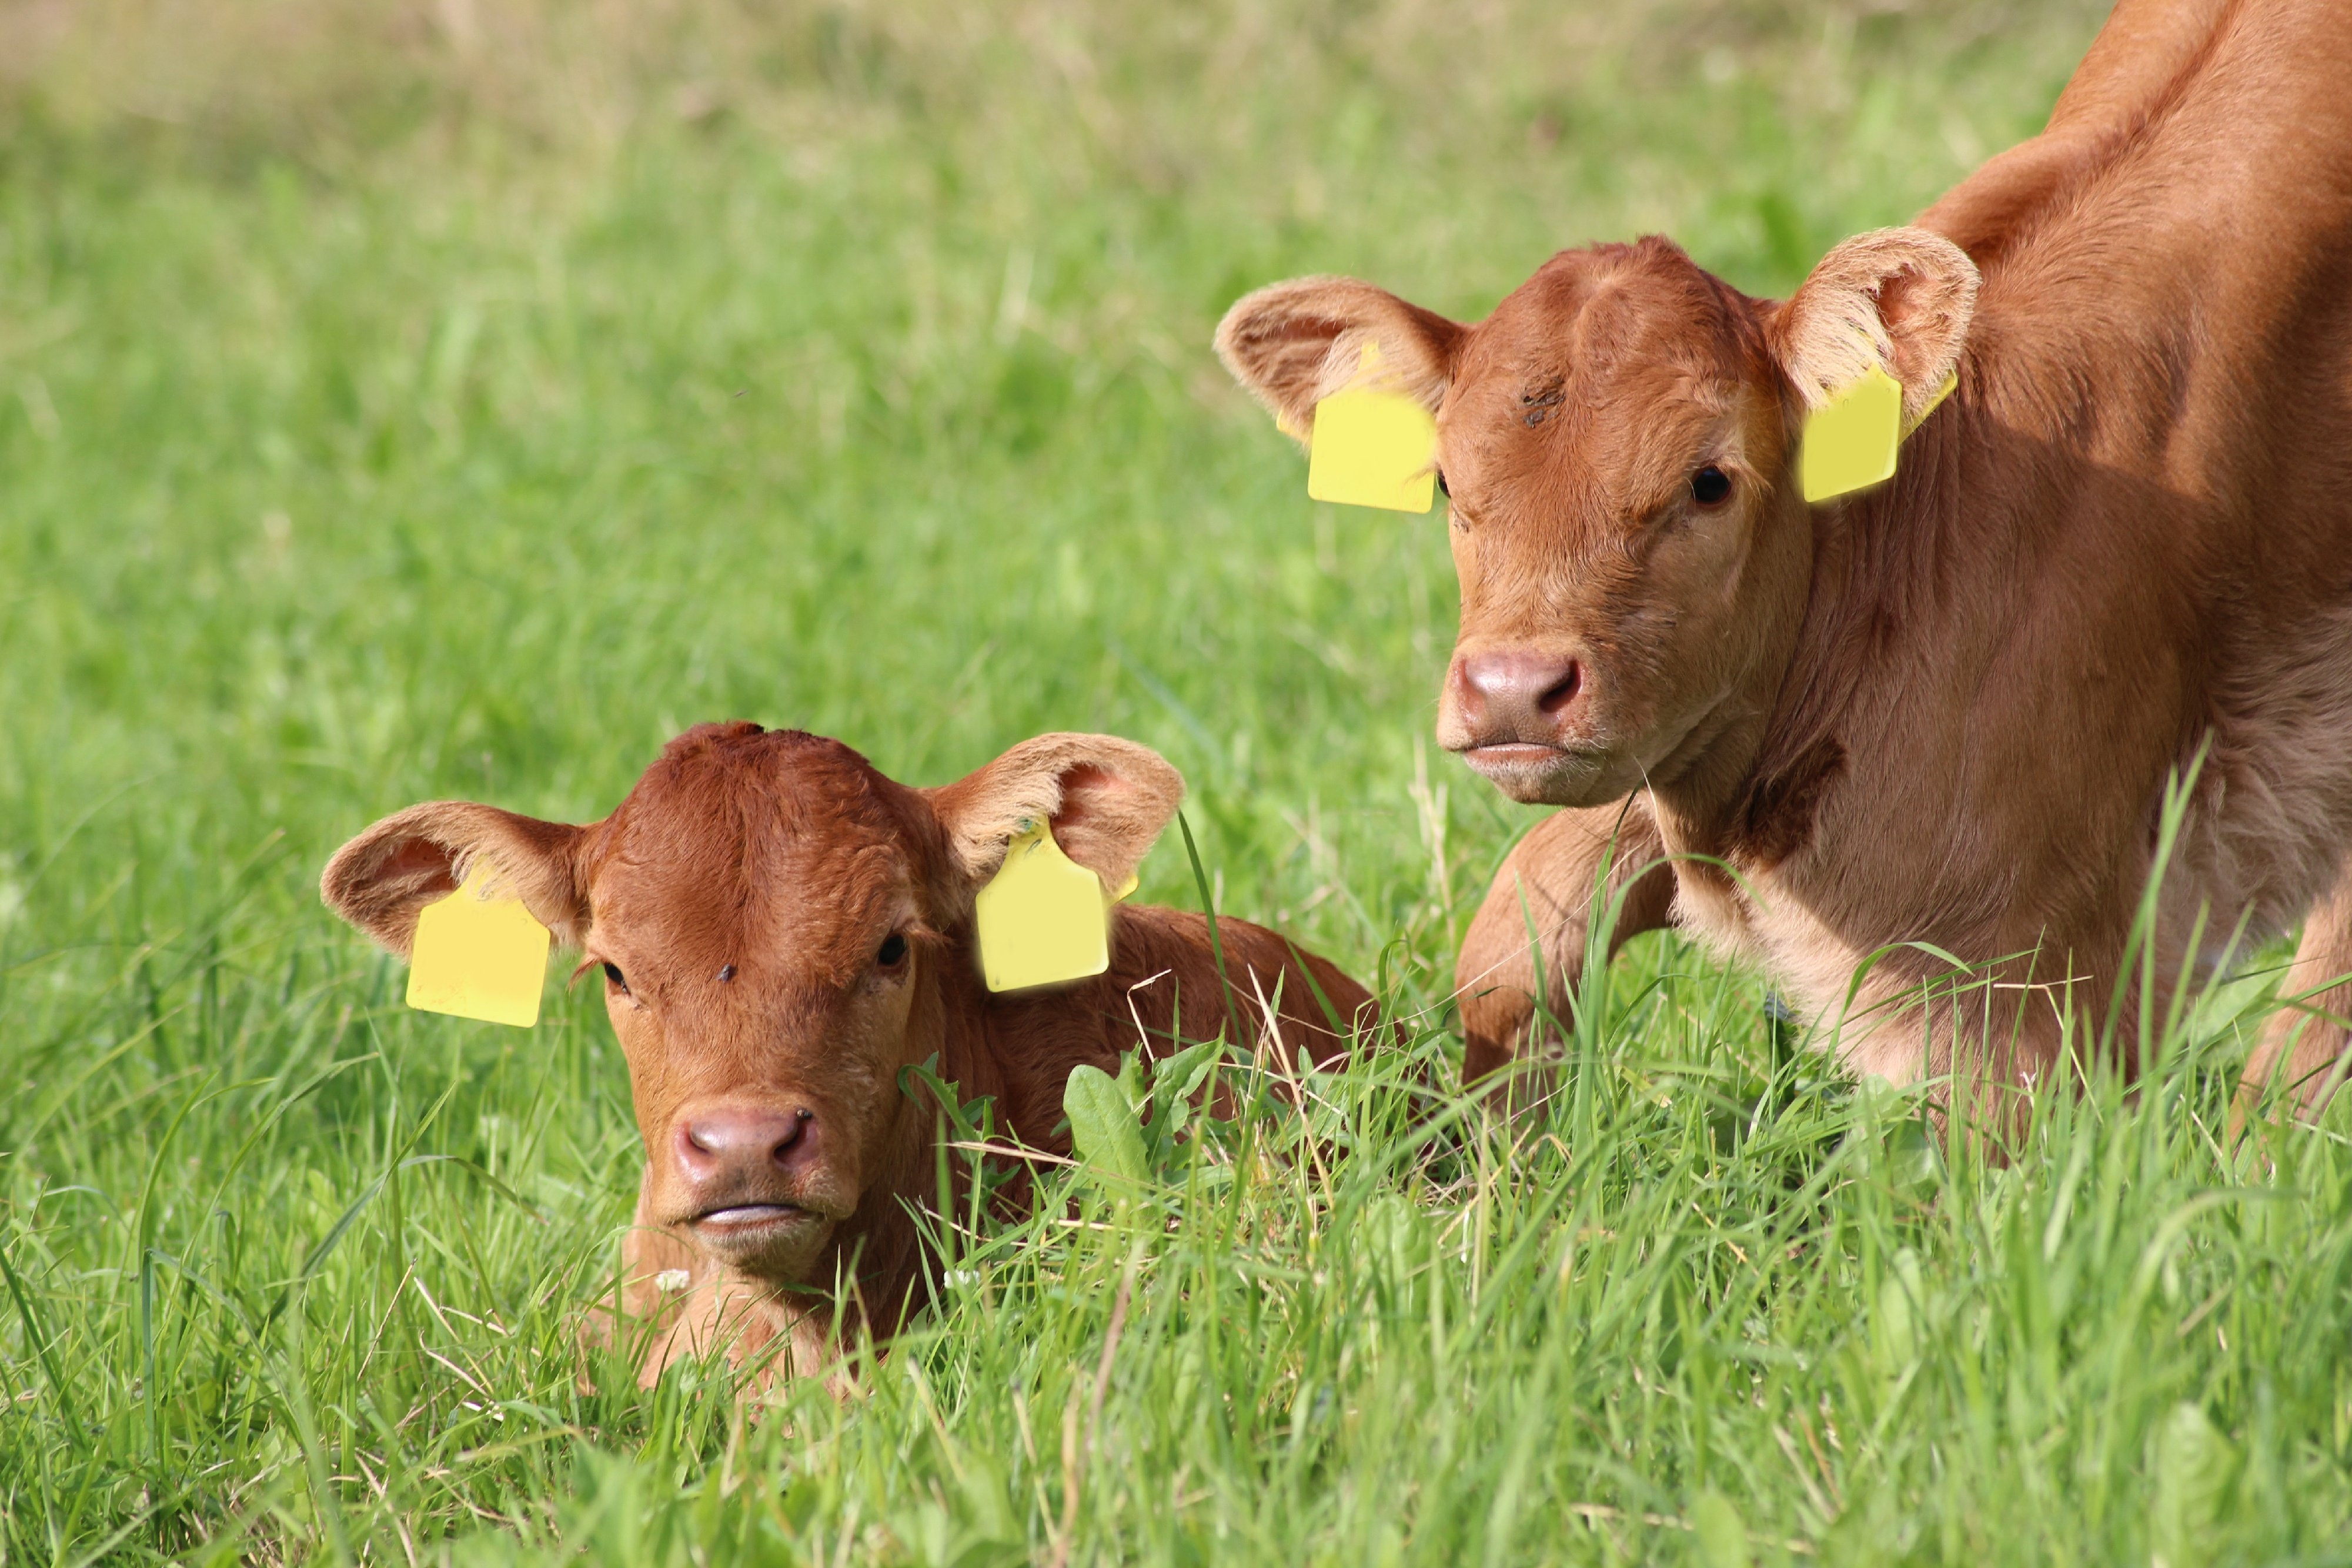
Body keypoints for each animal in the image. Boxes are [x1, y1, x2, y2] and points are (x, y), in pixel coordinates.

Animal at [1223, 3, 2352, 1128]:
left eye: (1710, 480)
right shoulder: (1688, 735)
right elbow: (1513, 945)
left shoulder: (2018, 986)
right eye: (1451, 484)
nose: (1512, 689)